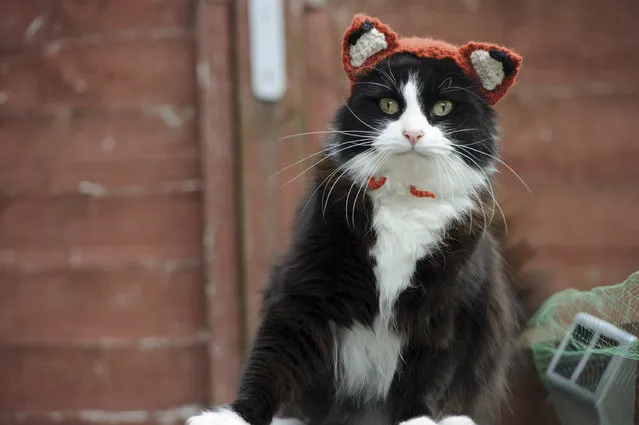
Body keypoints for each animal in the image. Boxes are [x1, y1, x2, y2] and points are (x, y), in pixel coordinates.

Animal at [186, 13, 524, 425]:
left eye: (443, 108)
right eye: (388, 105)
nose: (412, 133)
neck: (404, 200)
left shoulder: (449, 311)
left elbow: (430, 376)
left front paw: (419, 420)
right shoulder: (306, 287)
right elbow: (272, 357)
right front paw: (233, 415)